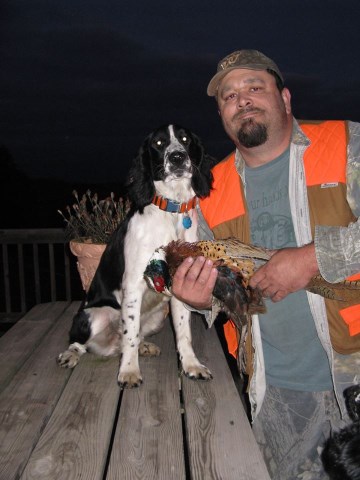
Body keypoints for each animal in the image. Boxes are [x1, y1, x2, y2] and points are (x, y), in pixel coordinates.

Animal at [57, 124, 214, 386]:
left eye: (185, 139)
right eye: (159, 143)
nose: (177, 157)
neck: (171, 211)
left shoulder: (179, 284)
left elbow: (184, 333)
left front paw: (192, 365)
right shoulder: (132, 285)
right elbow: (129, 334)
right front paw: (129, 371)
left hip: (157, 317)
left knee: (132, 338)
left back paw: (144, 347)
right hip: (94, 315)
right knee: (82, 341)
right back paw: (71, 354)